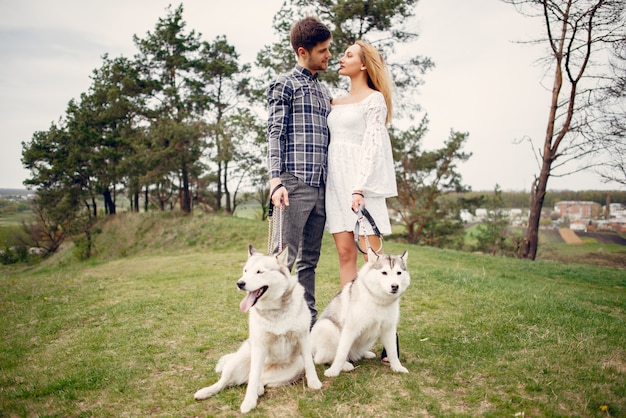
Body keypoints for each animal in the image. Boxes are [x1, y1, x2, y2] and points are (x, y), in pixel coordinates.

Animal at [194, 247, 322, 414]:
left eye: (259, 272)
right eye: (245, 270)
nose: (240, 283)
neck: (275, 311)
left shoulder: (303, 338)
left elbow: (310, 364)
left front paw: (314, 382)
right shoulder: (260, 345)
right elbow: (253, 378)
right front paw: (249, 401)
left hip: (293, 369)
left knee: (259, 380)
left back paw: (259, 389)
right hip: (239, 360)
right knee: (229, 381)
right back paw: (205, 392)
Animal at [310, 250, 410, 378]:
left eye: (399, 273)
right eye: (384, 273)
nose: (395, 286)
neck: (378, 301)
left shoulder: (389, 328)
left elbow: (392, 352)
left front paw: (397, 367)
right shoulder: (350, 329)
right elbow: (341, 353)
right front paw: (334, 371)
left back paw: (365, 354)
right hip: (326, 326)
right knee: (321, 359)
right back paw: (344, 365)